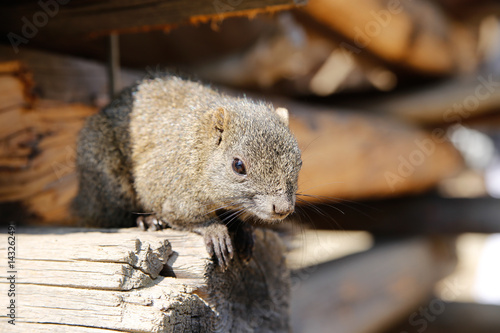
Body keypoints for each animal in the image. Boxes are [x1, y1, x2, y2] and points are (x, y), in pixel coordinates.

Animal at [71, 74, 302, 268]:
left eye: (299, 162)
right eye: (238, 166)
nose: (283, 208)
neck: (199, 154)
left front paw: (243, 230)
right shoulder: (170, 189)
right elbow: (186, 217)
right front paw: (215, 231)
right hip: (108, 182)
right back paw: (148, 220)